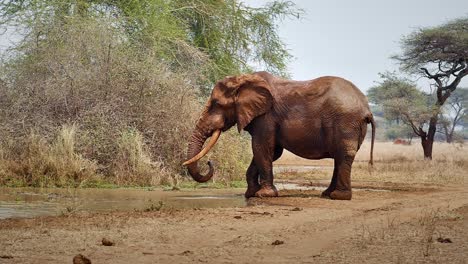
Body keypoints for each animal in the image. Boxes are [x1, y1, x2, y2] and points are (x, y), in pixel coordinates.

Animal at [181, 71, 374, 200]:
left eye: (216, 104)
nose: (209, 162)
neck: (244, 80)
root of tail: (366, 109)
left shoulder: (266, 117)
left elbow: (261, 148)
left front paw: (263, 195)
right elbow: (270, 152)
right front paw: (251, 194)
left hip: (346, 122)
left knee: (344, 154)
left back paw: (338, 196)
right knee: (339, 157)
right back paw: (327, 194)